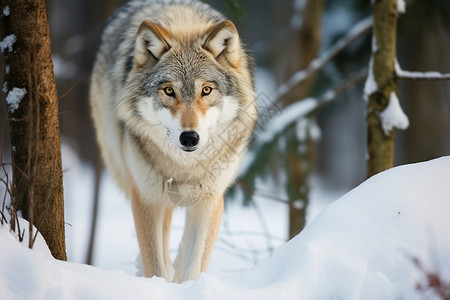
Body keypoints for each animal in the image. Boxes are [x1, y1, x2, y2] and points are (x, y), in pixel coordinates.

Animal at [89, 0, 256, 282]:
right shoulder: (145, 199)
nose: (189, 137)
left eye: (206, 90)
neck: (184, 167)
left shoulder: (211, 199)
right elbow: (155, 265)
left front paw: (188, 283)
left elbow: (195, 265)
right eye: (169, 90)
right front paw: (160, 281)